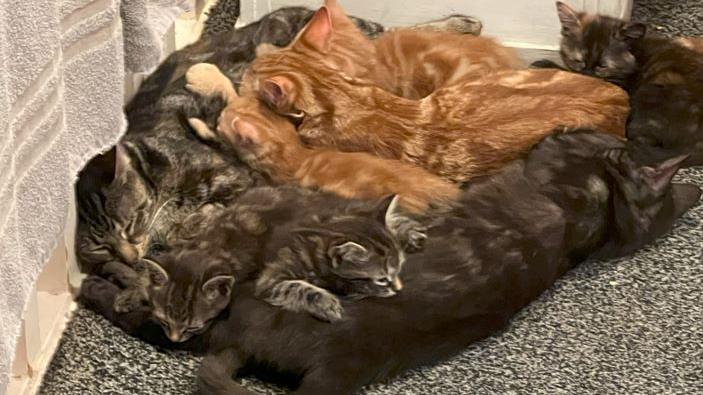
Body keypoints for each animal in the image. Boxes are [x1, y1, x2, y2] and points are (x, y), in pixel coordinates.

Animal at [80, 131, 700, 394]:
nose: (604, 136)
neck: (596, 215)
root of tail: (339, 362)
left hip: (222, 311)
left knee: (146, 318)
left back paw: (97, 285)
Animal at [184, 62, 460, 212]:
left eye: (221, 123)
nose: (219, 118)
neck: (297, 155)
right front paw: (207, 77)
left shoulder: (263, 176)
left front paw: (199, 123)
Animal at [532, 0, 703, 166]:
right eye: (578, 61)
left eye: (602, 66)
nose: (588, 79)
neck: (635, 55)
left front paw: (545, 65)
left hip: (652, 89)